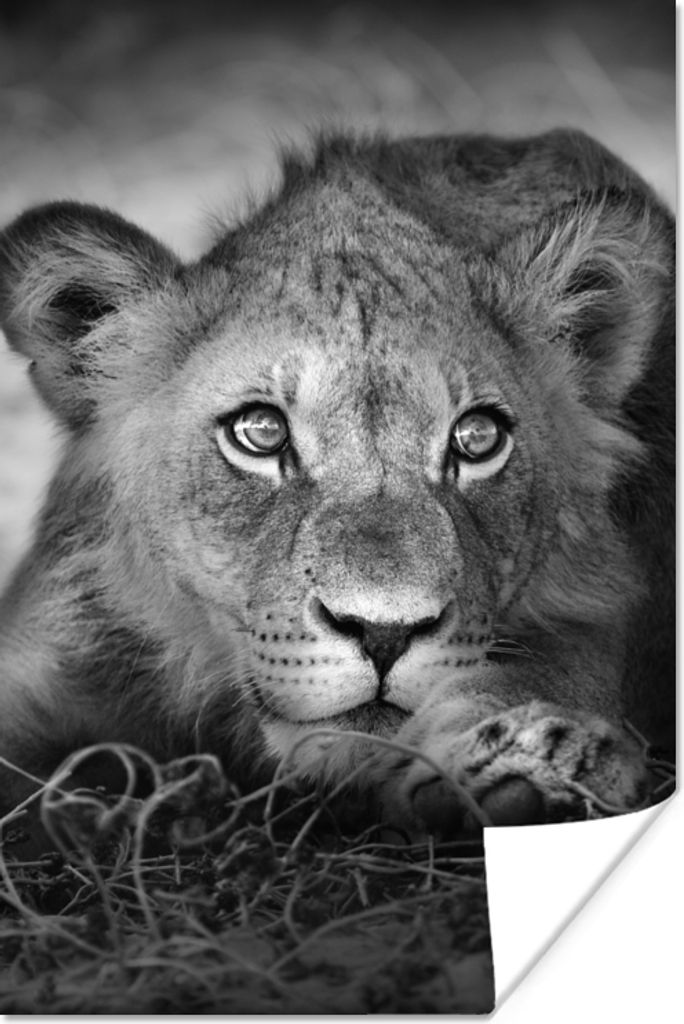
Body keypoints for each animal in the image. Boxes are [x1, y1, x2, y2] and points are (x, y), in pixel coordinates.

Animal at [0, 129, 674, 833]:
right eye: (260, 431)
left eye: (477, 437)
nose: (384, 634)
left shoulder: (603, 601)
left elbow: (553, 666)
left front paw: (533, 761)